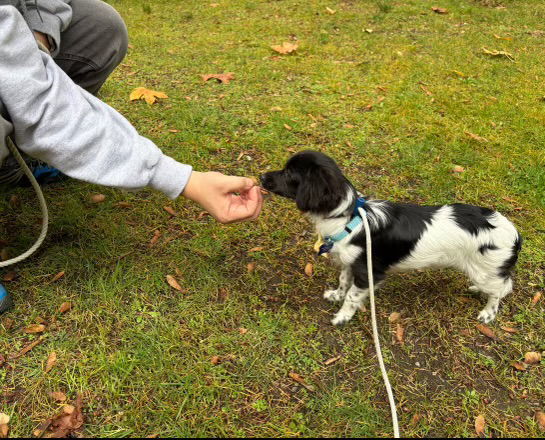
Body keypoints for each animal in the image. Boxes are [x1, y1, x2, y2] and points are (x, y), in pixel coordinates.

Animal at [262, 151, 520, 326]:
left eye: (289, 173)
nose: (262, 176)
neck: (348, 217)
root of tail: (513, 232)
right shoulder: (350, 263)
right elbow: (344, 281)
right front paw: (336, 295)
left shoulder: (368, 273)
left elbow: (352, 297)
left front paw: (342, 317)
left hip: (485, 270)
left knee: (500, 291)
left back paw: (488, 313)